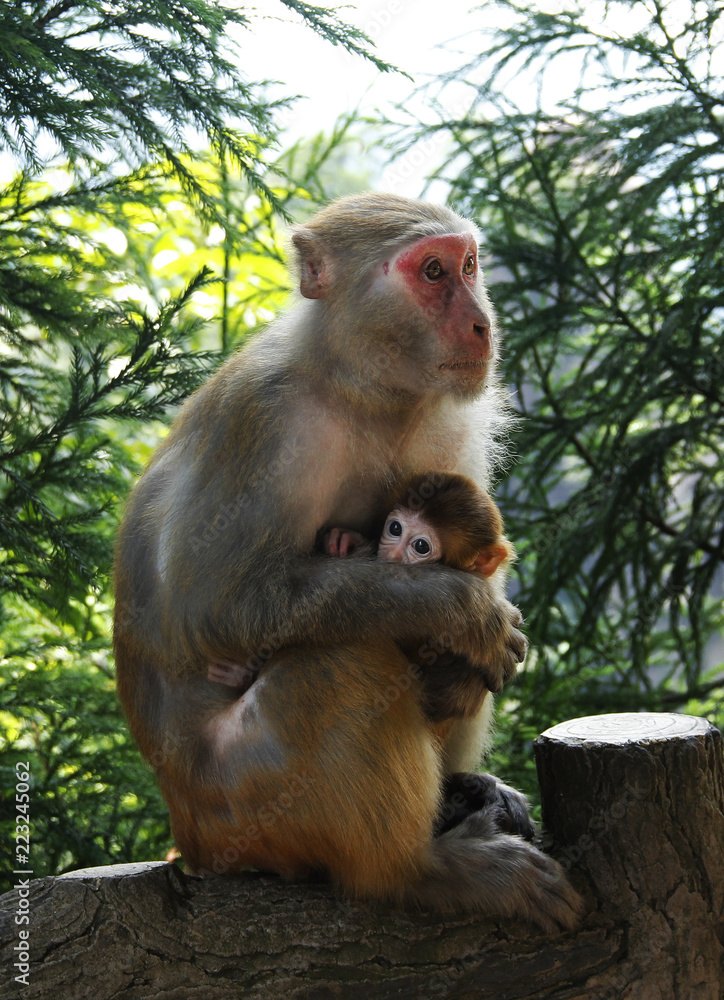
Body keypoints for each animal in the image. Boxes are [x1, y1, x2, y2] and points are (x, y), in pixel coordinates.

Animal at [114, 193, 583, 932]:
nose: (482, 324)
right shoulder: (264, 419)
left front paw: (464, 641)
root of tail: (190, 837)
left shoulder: (452, 420)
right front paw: (461, 611)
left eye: (468, 266)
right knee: (339, 661)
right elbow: (212, 608)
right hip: (245, 805)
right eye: (431, 272)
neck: (362, 389)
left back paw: (459, 789)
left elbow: (479, 555)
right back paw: (420, 872)